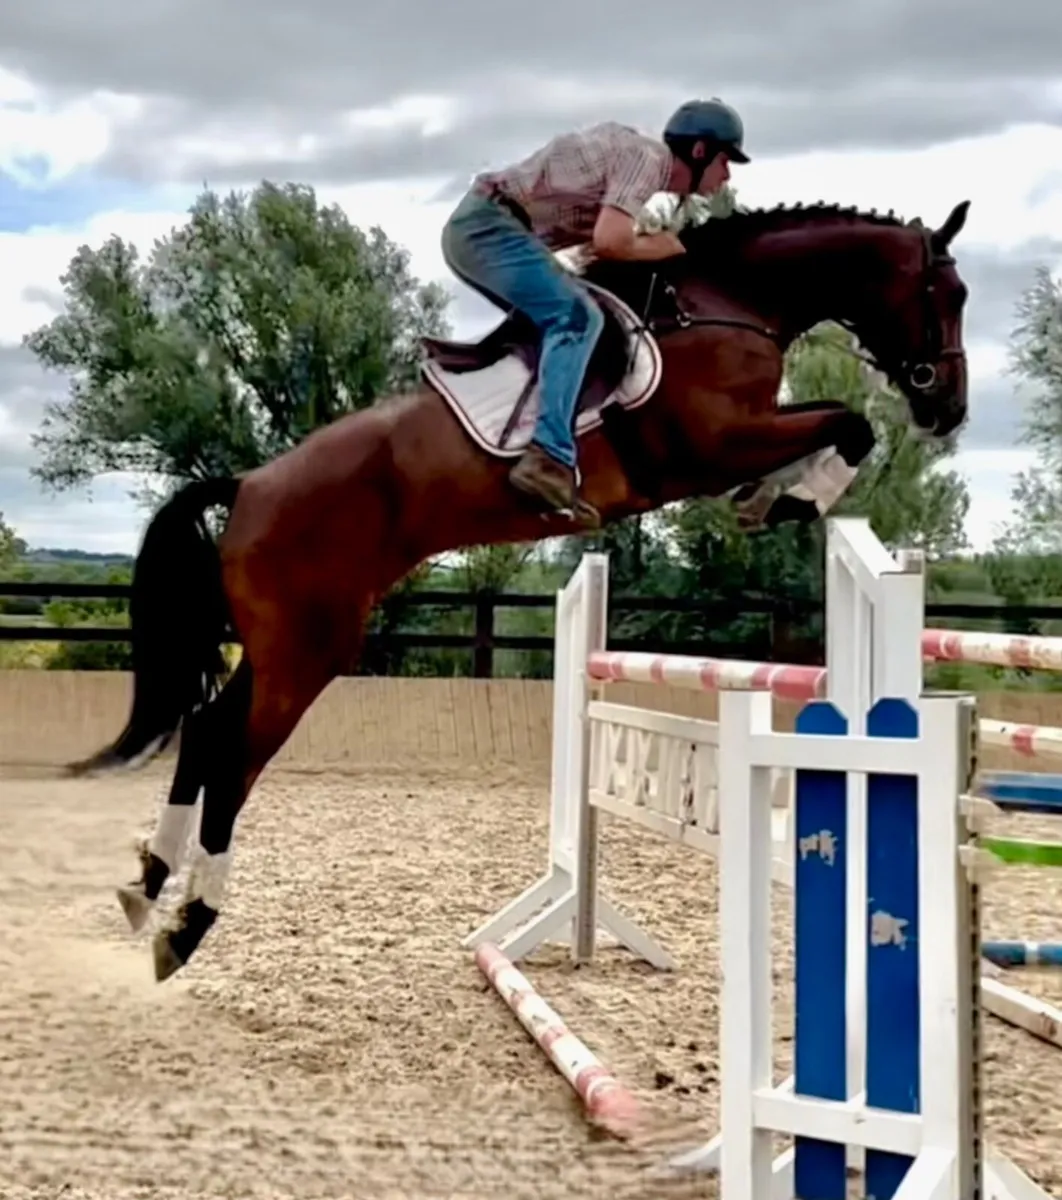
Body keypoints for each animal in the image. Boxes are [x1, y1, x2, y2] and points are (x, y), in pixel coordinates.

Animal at [73, 198, 972, 981]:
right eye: (948, 295)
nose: (951, 408)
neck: (727, 303)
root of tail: (251, 484)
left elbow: (841, 423)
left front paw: (777, 496)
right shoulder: (714, 443)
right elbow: (850, 423)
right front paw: (785, 498)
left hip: (279, 643)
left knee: (204, 732)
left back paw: (147, 884)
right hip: (308, 649)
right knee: (234, 757)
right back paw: (189, 924)